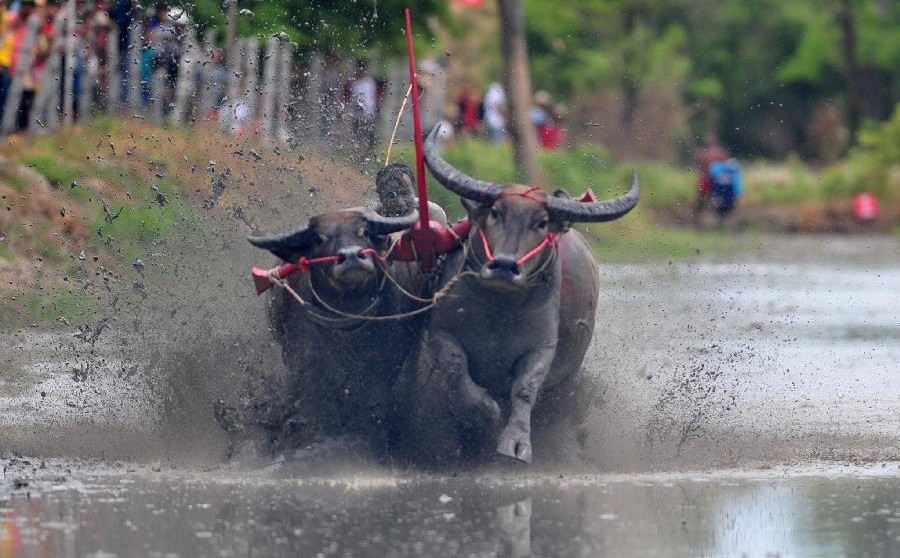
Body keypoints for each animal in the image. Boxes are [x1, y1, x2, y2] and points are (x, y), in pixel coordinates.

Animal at [394, 124, 640, 466]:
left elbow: (525, 389)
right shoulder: (441, 333)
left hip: (568, 378)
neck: (499, 310)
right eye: (495, 213)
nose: (504, 265)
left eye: (541, 222)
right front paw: (485, 414)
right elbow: (457, 370)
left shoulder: (541, 349)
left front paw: (516, 443)